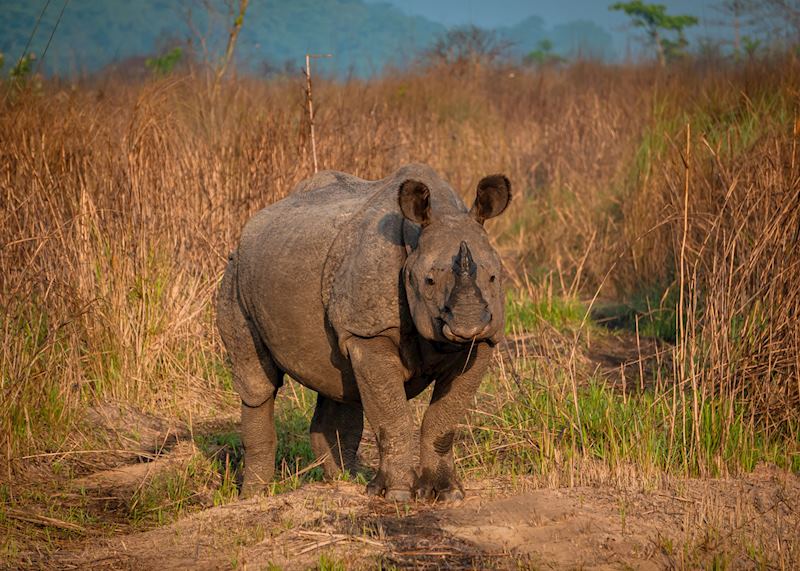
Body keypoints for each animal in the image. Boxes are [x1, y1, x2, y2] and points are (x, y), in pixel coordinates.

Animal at [217, 163, 511, 501]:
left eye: (494, 277)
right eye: (429, 281)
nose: (468, 325)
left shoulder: (484, 340)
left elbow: (443, 420)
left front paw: (447, 493)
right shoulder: (370, 333)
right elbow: (393, 415)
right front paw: (397, 494)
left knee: (339, 382)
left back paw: (344, 479)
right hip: (235, 273)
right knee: (258, 385)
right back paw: (255, 494)